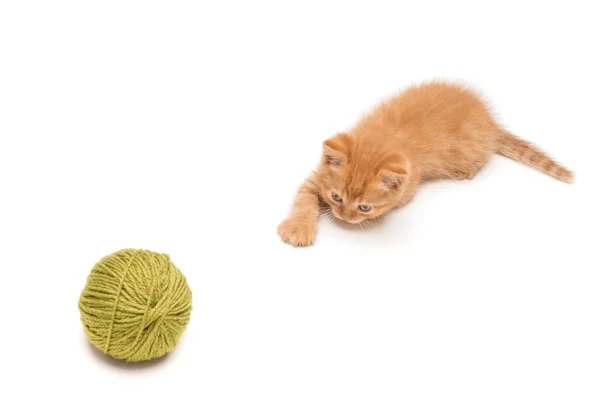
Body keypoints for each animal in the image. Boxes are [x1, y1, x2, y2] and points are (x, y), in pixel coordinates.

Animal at [278, 81, 576, 247]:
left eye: (364, 207)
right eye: (336, 197)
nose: (343, 217)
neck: (380, 137)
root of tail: (490, 122)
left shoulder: (408, 187)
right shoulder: (317, 176)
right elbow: (304, 199)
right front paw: (298, 227)